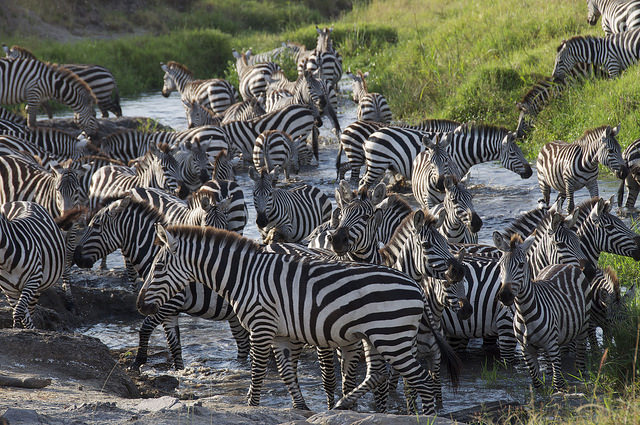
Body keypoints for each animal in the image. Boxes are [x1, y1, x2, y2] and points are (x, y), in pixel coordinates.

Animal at [73, 197, 249, 370]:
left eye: (96, 226)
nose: (76, 257)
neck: (153, 254)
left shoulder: (169, 303)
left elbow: (145, 328)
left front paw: (138, 362)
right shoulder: (168, 309)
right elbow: (174, 344)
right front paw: (178, 370)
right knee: (243, 345)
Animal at [137, 224, 446, 415]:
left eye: (159, 267)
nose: (140, 305)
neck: (244, 276)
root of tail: (417, 286)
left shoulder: (260, 327)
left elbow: (258, 371)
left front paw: (251, 405)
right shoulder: (280, 334)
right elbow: (286, 373)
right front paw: (301, 408)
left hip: (392, 337)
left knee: (422, 379)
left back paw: (427, 417)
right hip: (377, 336)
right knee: (378, 373)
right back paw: (342, 405)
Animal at [494, 232, 591, 392]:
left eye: (521, 265)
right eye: (500, 266)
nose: (504, 295)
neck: (524, 313)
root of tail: (564, 264)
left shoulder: (552, 345)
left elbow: (559, 383)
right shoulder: (526, 350)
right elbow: (537, 383)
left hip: (583, 329)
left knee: (581, 360)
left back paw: (582, 378)